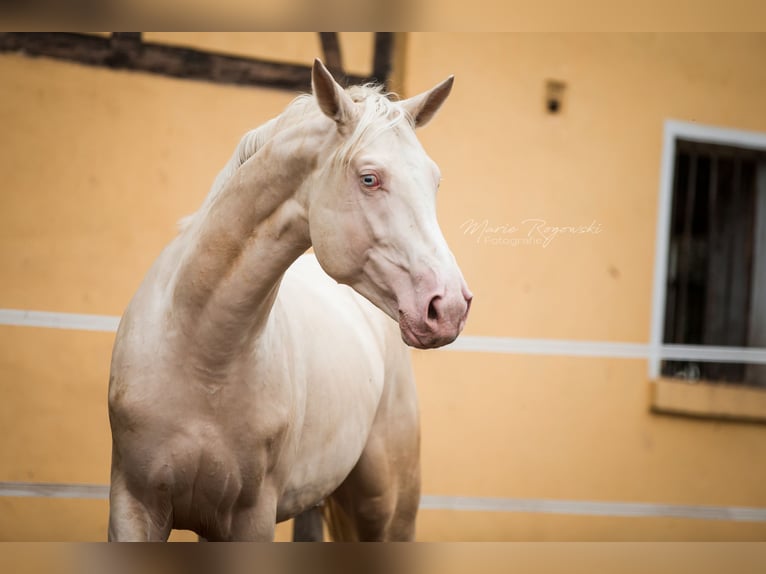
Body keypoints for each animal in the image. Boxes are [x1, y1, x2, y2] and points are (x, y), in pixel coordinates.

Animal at [107, 59, 472, 542]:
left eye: (434, 181)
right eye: (369, 178)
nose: (448, 306)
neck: (201, 356)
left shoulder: (251, 517)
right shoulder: (136, 505)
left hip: (388, 509)